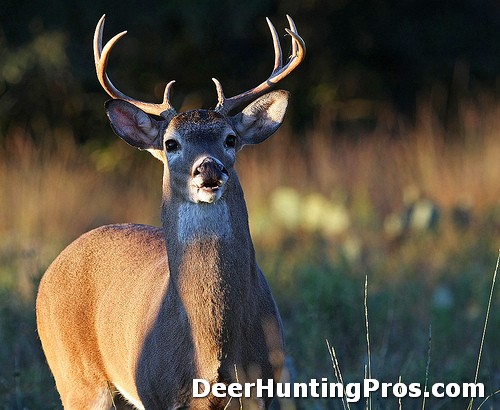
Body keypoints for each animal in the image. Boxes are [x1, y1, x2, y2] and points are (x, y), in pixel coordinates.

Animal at [36, 13, 304, 410]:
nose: (208, 168)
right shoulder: (156, 390)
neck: (212, 351)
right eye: (171, 143)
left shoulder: (262, 388)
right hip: (75, 377)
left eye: (230, 138)